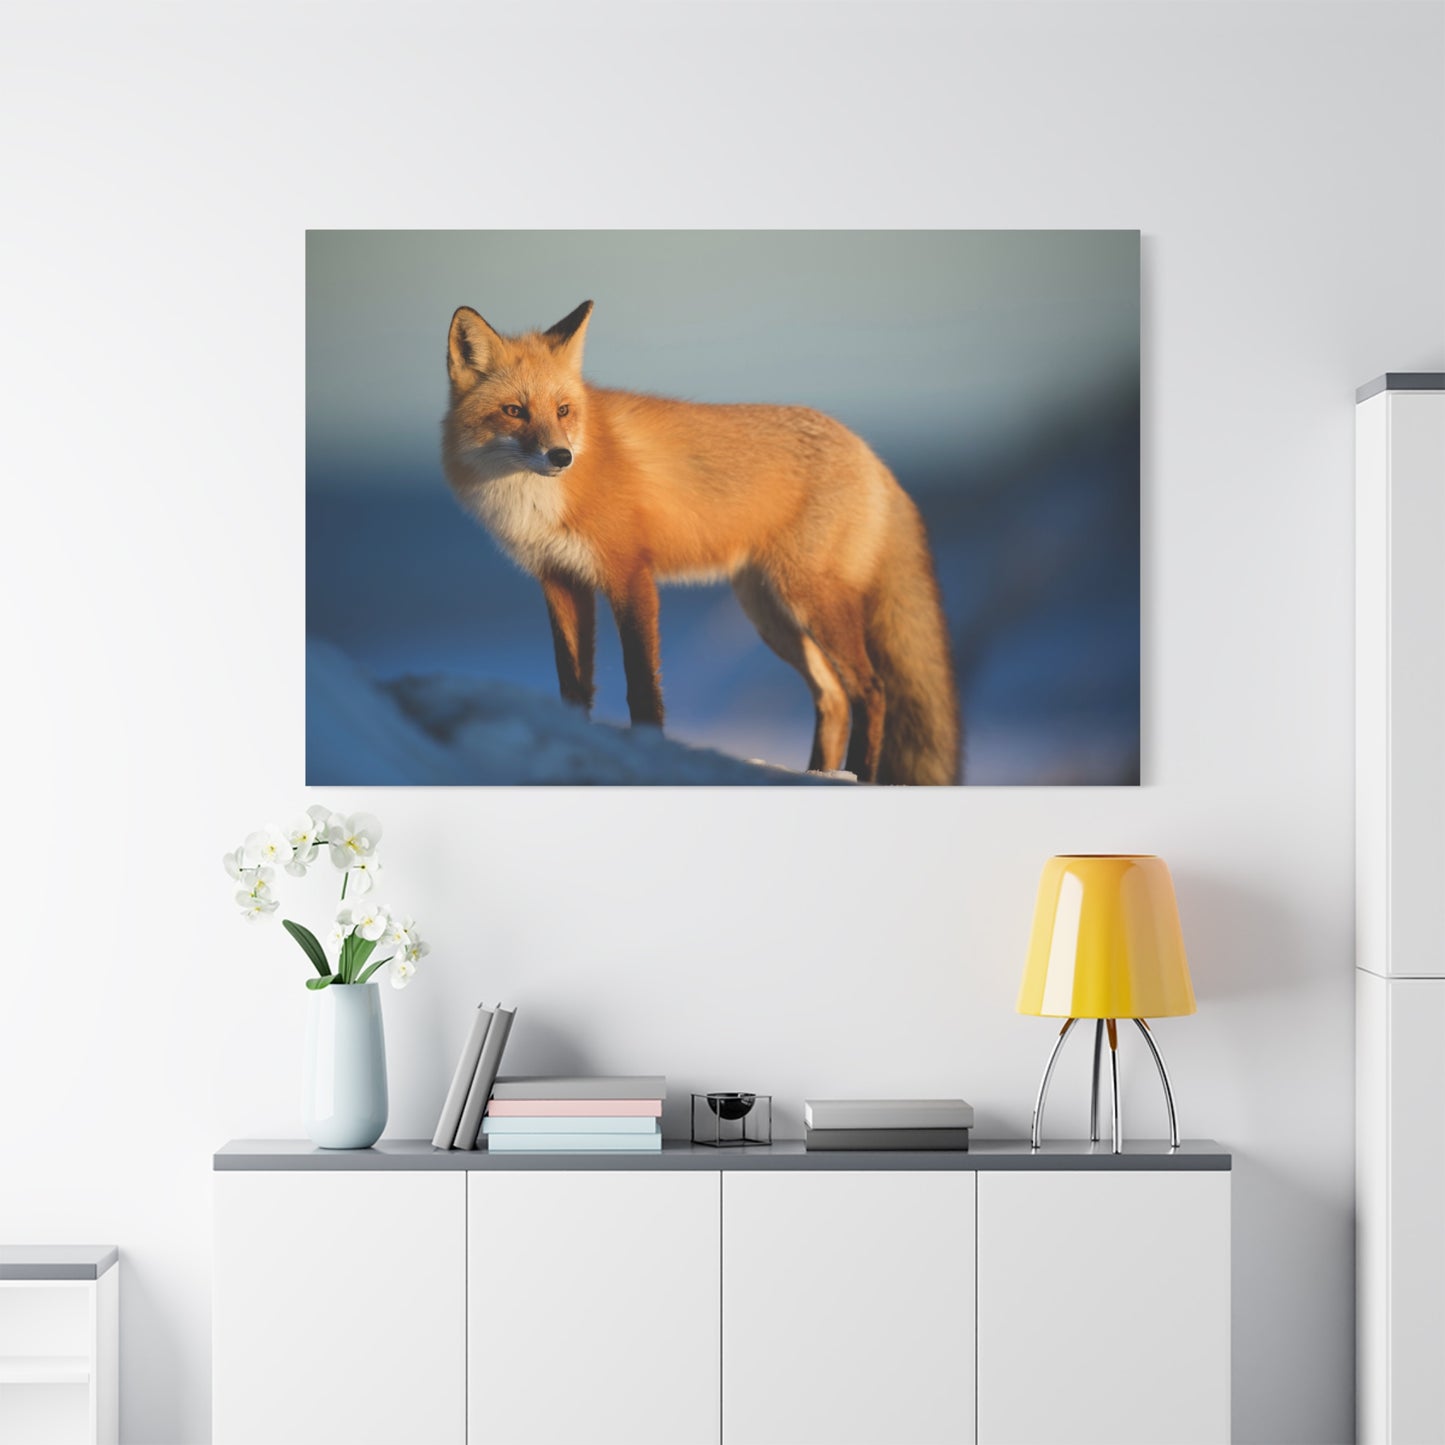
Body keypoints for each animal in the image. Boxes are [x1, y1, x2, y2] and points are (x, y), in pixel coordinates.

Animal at [440, 300, 961, 785]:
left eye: (563, 410)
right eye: (514, 411)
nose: (561, 456)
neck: (537, 501)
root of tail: (871, 454)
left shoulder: (630, 574)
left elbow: (642, 685)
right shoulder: (560, 580)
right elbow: (573, 685)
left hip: (811, 600)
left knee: (871, 690)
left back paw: (858, 775)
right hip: (770, 614)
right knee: (832, 697)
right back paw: (817, 774)